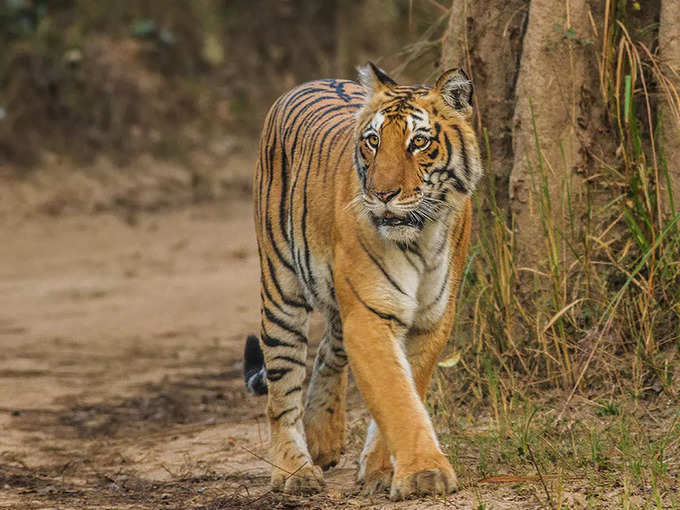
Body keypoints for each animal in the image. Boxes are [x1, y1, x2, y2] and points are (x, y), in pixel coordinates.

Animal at [242, 61, 480, 500]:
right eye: (373, 141)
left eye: (419, 142)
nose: (383, 194)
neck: (421, 238)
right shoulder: (370, 315)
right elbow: (395, 395)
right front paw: (424, 473)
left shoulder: (431, 318)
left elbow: (408, 388)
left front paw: (382, 470)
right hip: (281, 290)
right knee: (281, 391)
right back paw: (295, 471)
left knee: (327, 352)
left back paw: (323, 437)